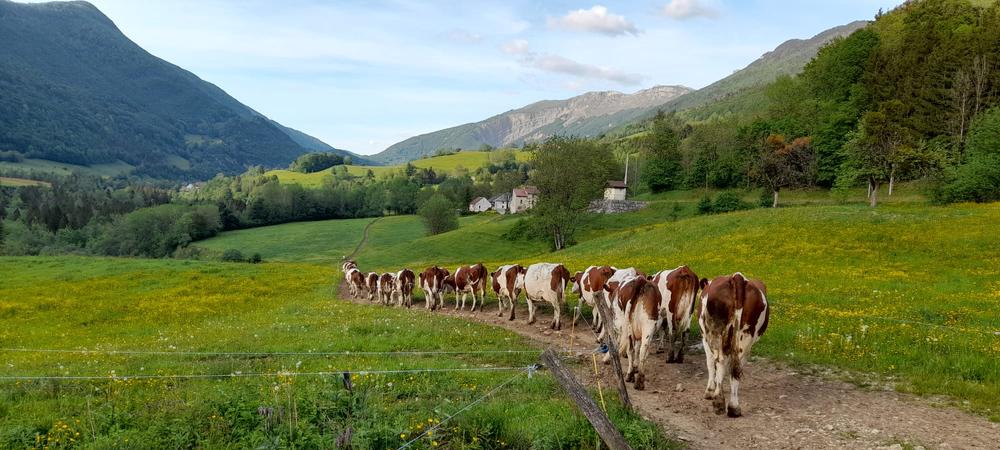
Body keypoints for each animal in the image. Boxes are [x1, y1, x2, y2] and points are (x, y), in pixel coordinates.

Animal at [700, 272, 768, 416]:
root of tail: (737, 277)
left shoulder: (704, 337)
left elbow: (710, 363)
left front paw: (710, 390)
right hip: (746, 337)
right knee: (735, 368)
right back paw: (732, 406)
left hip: (717, 334)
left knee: (720, 362)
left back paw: (722, 402)